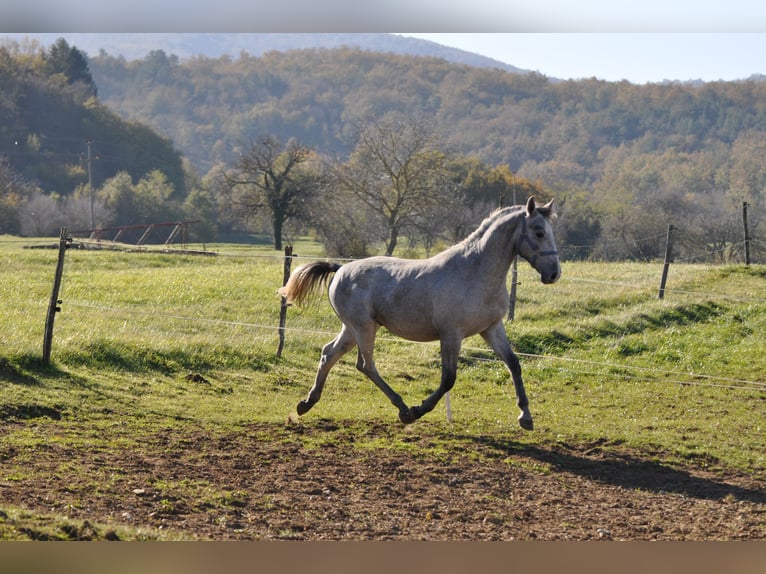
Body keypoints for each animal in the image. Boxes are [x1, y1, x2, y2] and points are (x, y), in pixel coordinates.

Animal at [280, 196, 560, 430]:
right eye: (539, 232)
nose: (554, 274)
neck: (475, 272)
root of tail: (340, 269)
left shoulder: (491, 328)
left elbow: (514, 363)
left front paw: (526, 417)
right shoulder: (451, 335)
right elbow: (448, 379)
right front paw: (418, 410)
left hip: (353, 328)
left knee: (329, 353)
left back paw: (306, 404)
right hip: (363, 328)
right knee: (365, 364)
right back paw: (403, 409)